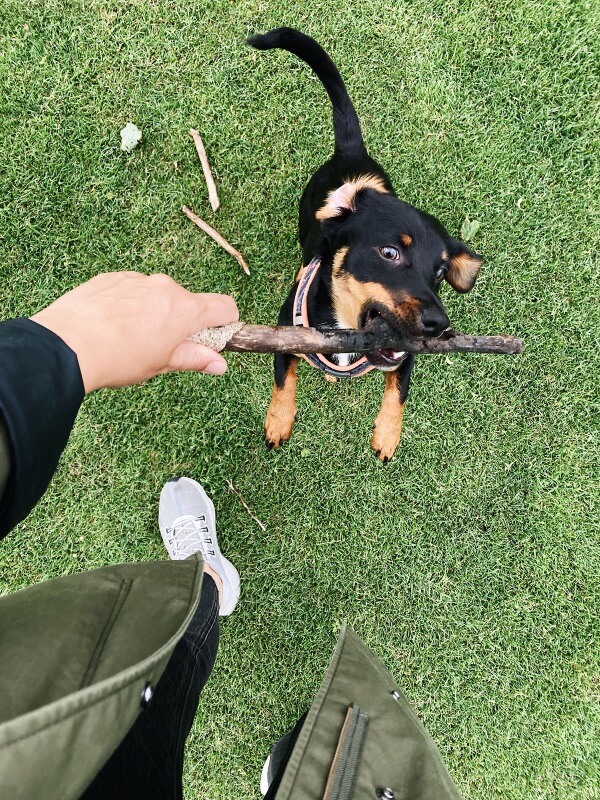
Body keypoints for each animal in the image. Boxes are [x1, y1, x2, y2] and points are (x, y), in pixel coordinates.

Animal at [248, 28, 483, 462]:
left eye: (441, 271)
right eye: (389, 253)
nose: (438, 323)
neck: (346, 330)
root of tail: (352, 154)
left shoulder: (404, 356)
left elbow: (399, 392)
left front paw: (387, 435)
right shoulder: (284, 337)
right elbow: (284, 380)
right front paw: (279, 422)